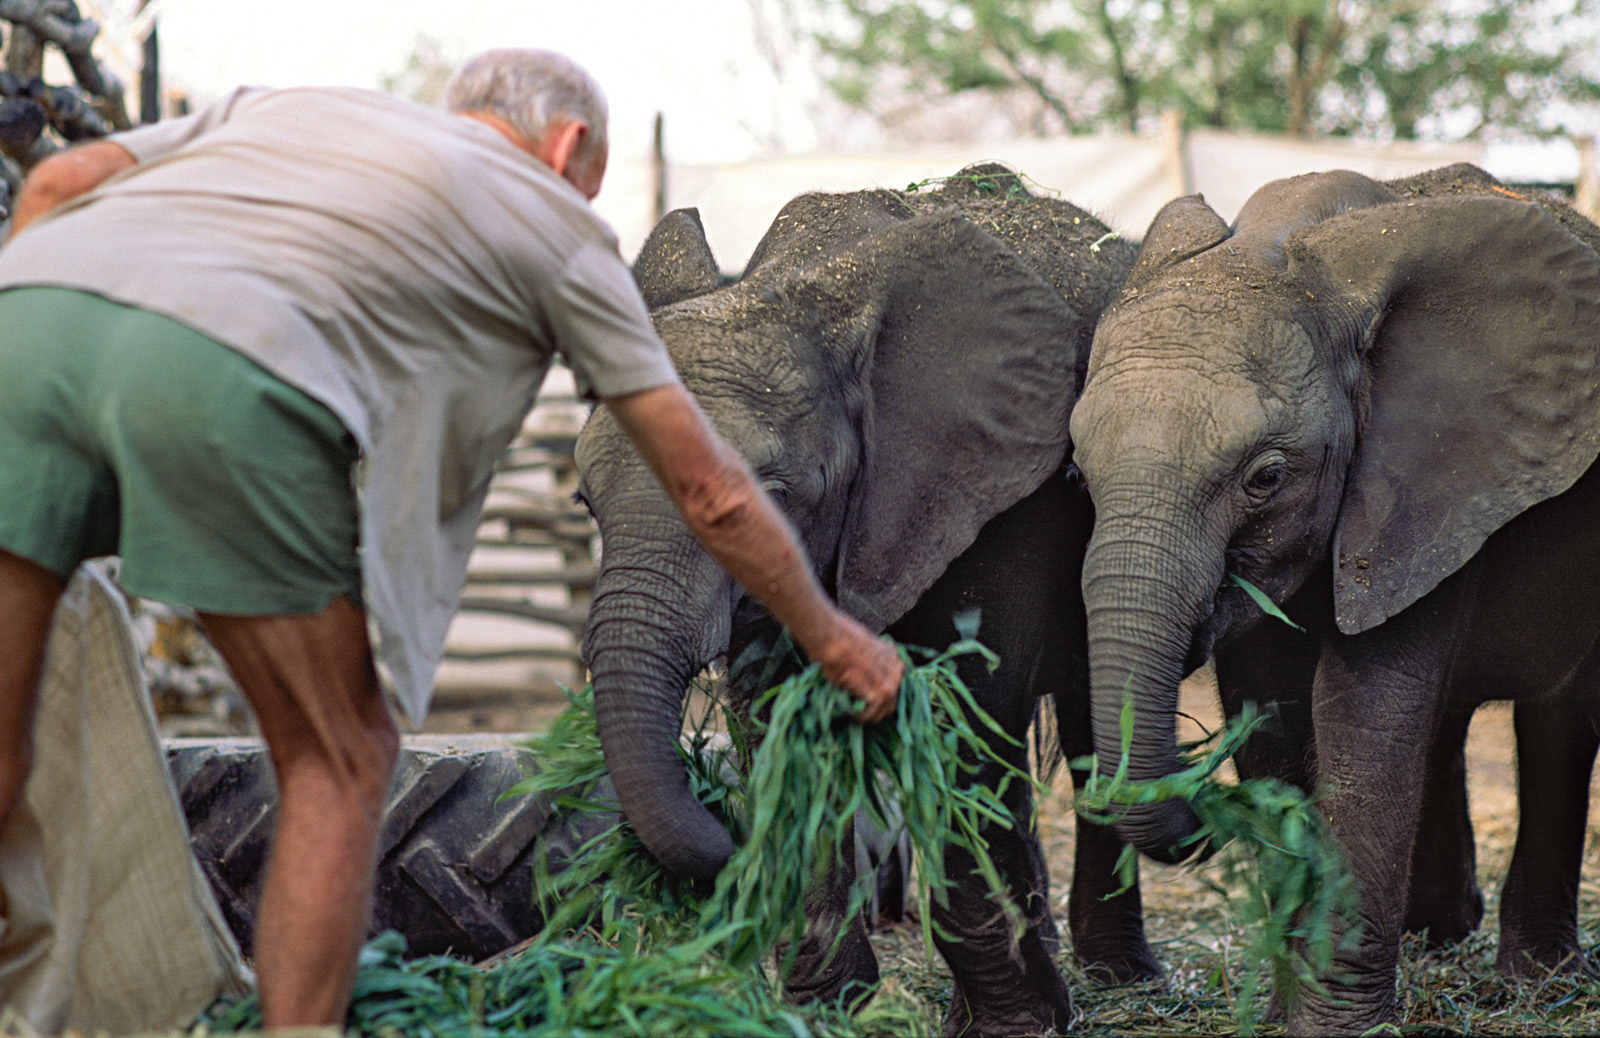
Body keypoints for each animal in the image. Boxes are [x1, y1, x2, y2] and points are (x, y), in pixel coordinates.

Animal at [574, 165, 1152, 1035]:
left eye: (770, 496)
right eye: (584, 501)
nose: (720, 834)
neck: (793, 287)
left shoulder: (1007, 483)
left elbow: (962, 718)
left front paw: (1015, 1026)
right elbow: (781, 716)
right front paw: (827, 1006)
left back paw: (1119, 979)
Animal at [1068, 161, 1600, 1034]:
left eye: (1266, 478)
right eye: (1077, 474)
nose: (1199, 813)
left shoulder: (1429, 474)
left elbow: (1364, 711)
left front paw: (1338, 1026)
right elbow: (1274, 711)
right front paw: (1287, 1008)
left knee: (1559, 715)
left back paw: (1538, 980)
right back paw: (1439, 935)